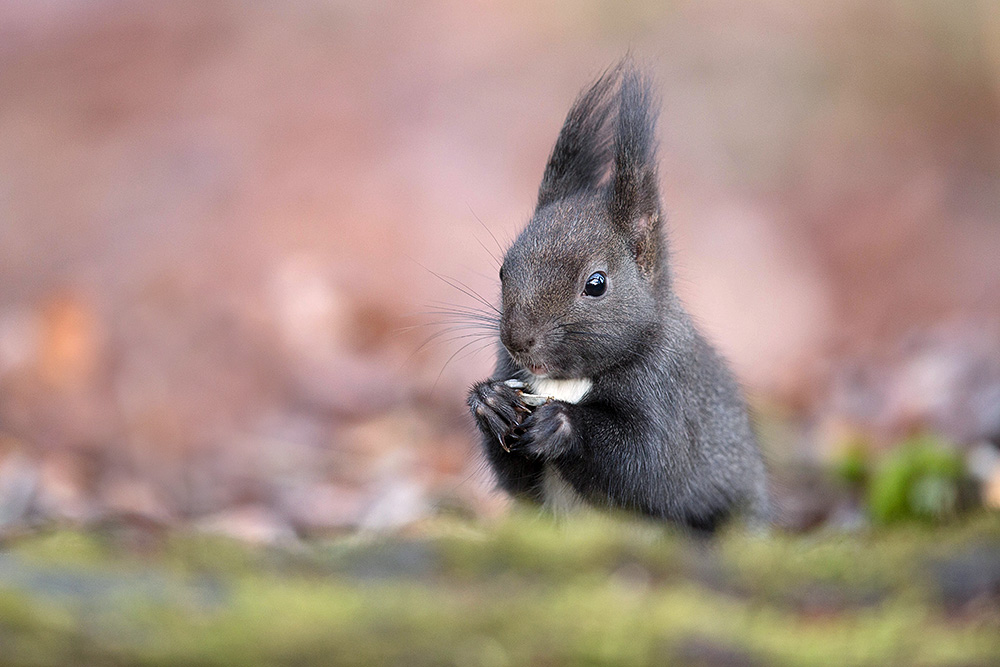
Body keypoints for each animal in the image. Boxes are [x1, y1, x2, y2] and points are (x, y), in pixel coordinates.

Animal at [464, 62, 768, 532]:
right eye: (502, 271)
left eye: (596, 283)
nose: (517, 341)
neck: (565, 381)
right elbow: (516, 480)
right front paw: (490, 403)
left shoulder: (667, 392)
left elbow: (649, 465)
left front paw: (561, 425)